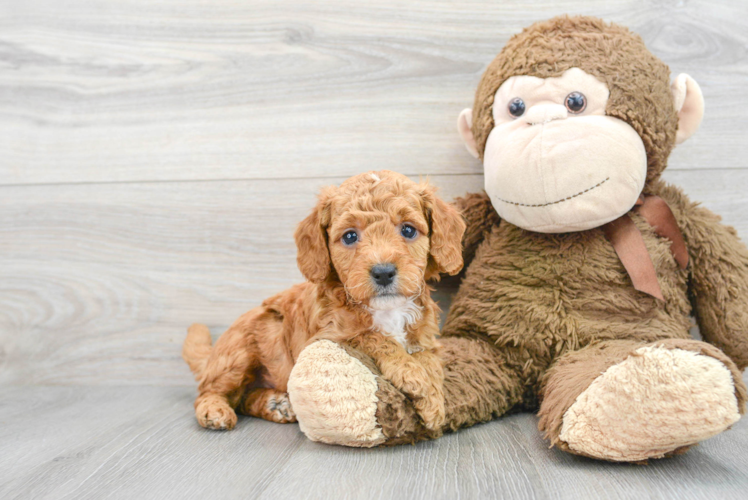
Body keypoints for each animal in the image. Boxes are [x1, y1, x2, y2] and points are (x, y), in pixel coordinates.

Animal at [182, 171, 464, 430]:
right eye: (350, 236)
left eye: (408, 230)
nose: (383, 272)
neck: (387, 311)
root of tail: (212, 355)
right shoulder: (328, 337)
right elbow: (375, 337)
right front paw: (415, 377)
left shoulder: (425, 337)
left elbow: (429, 359)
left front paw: (434, 398)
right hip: (241, 350)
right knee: (208, 391)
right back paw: (215, 410)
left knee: (243, 399)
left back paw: (276, 405)